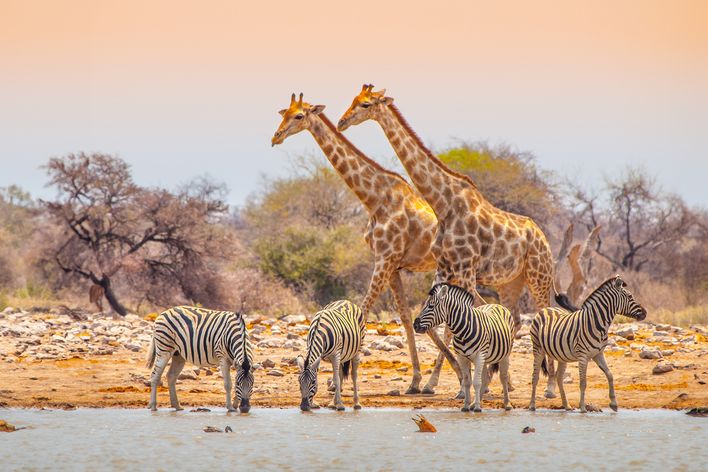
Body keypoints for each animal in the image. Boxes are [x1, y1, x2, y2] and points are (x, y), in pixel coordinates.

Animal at [413, 283, 515, 412]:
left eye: (431, 306)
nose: (415, 325)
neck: (462, 331)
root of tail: (496, 304)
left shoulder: (479, 355)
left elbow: (476, 382)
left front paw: (477, 408)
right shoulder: (462, 357)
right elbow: (467, 382)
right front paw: (466, 406)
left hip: (504, 354)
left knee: (503, 377)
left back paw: (507, 404)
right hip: (486, 358)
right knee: (486, 377)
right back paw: (474, 403)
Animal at [529, 275, 647, 413]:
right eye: (630, 296)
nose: (645, 313)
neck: (597, 323)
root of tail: (546, 308)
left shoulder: (598, 354)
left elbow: (610, 375)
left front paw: (613, 403)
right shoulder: (583, 356)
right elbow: (583, 382)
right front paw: (583, 408)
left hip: (561, 355)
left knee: (559, 377)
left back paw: (567, 405)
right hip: (538, 349)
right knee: (535, 377)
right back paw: (532, 405)